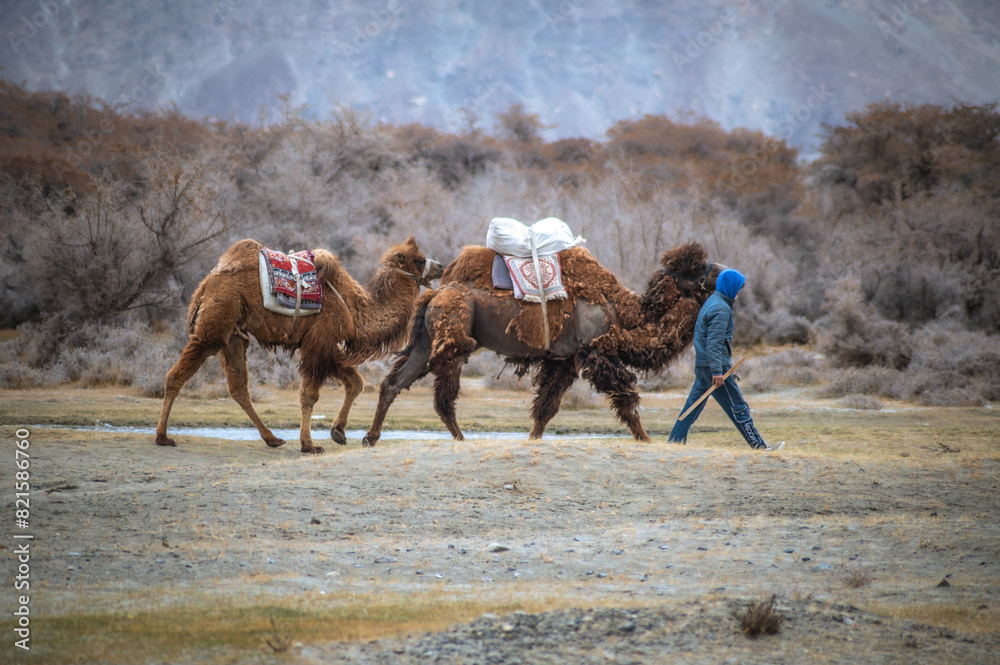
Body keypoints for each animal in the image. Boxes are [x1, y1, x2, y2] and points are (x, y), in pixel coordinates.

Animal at [155, 236, 443, 453]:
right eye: (419, 260)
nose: (440, 265)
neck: (355, 308)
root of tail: (206, 283)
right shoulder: (319, 341)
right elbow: (311, 395)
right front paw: (309, 444)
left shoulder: (326, 347)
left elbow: (355, 383)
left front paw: (338, 432)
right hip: (216, 322)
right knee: (177, 374)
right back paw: (163, 437)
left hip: (235, 334)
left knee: (238, 388)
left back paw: (272, 438)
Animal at [361, 242, 723, 445]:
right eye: (696, 268)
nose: (722, 270)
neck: (623, 311)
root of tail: (434, 294)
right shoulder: (596, 352)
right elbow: (626, 397)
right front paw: (645, 438)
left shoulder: (564, 359)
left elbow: (546, 407)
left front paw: (532, 439)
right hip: (455, 340)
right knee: (443, 396)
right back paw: (461, 438)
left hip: (426, 342)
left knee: (393, 383)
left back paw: (369, 437)